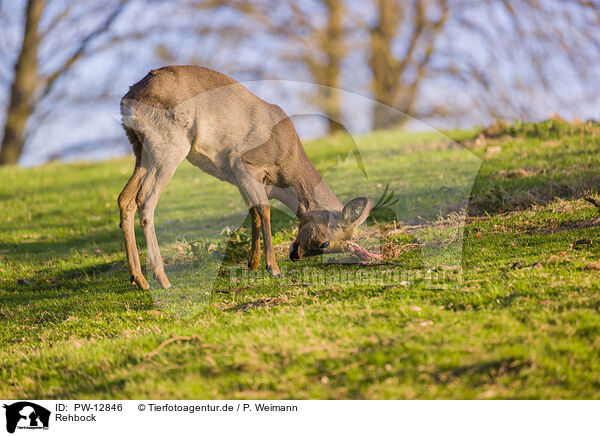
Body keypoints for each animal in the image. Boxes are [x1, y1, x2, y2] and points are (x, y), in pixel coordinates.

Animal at [119, 65, 372, 290]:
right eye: (325, 242)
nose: (295, 255)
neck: (285, 171)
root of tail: (128, 99)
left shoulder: (241, 177)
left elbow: (253, 212)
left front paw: (253, 263)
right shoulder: (244, 163)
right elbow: (264, 209)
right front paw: (273, 268)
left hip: (140, 150)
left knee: (125, 199)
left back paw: (139, 279)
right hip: (168, 147)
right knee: (145, 200)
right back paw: (162, 279)